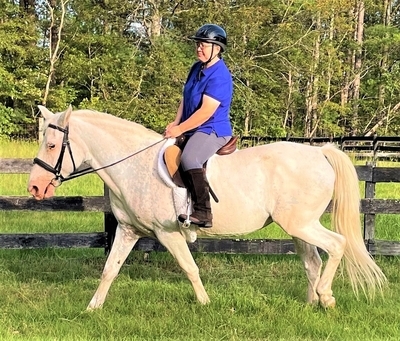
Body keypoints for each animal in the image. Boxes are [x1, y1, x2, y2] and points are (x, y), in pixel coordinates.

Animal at [26, 105, 386, 308]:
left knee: (337, 245)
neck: (133, 164)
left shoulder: (167, 233)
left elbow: (189, 268)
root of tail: (319, 152)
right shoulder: (128, 231)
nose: (34, 187)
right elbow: (109, 269)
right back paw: (312, 304)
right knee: (312, 261)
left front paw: (204, 303)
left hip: (302, 224)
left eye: (52, 145)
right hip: (298, 227)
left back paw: (327, 297)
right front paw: (92, 308)